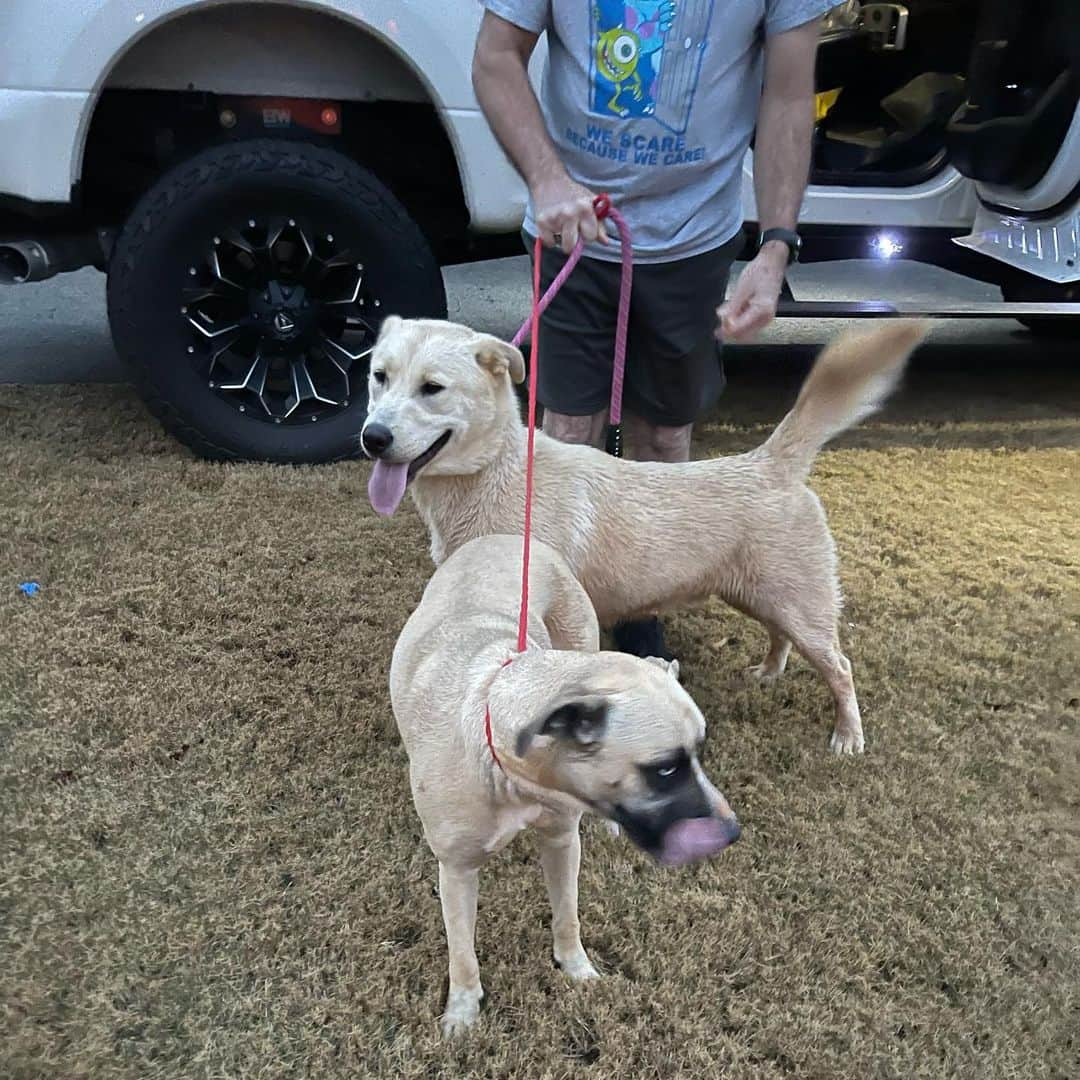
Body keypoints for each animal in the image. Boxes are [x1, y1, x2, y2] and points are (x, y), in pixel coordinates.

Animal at [369, 315, 928, 756]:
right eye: (379, 377)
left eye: (432, 388)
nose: (372, 437)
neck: (494, 474)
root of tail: (771, 461)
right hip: (760, 596)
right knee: (780, 637)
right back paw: (769, 673)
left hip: (801, 606)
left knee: (841, 667)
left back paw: (848, 735)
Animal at [390, 535, 743, 1032]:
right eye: (665, 769)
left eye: (699, 752)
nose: (733, 832)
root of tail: (505, 536)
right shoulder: (457, 869)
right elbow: (462, 953)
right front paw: (462, 1010)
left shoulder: (561, 841)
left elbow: (567, 916)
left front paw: (576, 968)